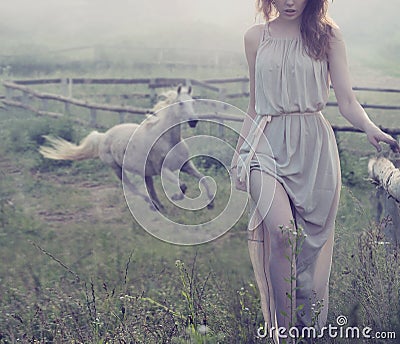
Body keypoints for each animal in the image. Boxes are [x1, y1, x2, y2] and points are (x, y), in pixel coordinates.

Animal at [40, 85, 214, 210]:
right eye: (181, 103)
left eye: (193, 102)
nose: (193, 121)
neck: (168, 141)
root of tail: (103, 137)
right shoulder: (163, 170)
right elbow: (182, 185)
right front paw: (177, 196)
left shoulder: (186, 165)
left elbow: (203, 179)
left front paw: (211, 203)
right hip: (118, 169)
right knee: (133, 188)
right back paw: (152, 205)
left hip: (145, 173)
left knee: (150, 188)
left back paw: (159, 206)